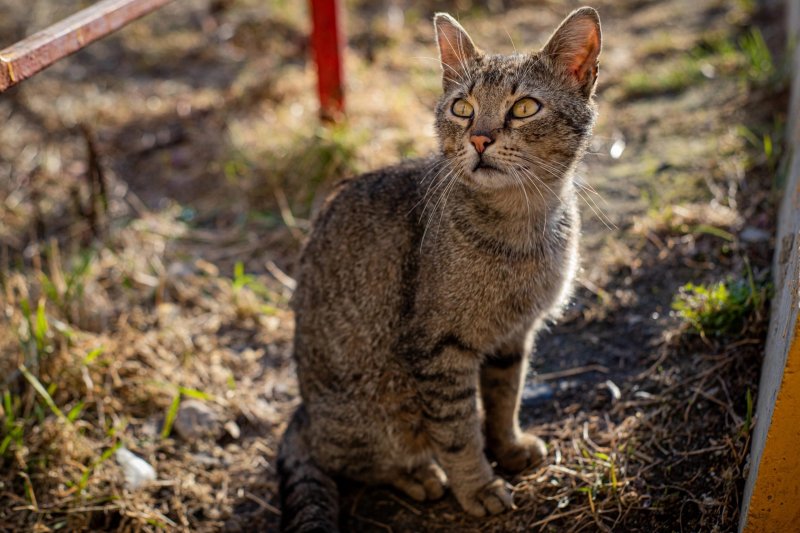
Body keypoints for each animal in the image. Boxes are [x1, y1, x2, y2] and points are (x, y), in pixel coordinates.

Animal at [280, 8, 600, 532]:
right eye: (463, 108)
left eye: (525, 108)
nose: (480, 138)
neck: (521, 228)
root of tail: (302, 411)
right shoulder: (439, 349)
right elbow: (458, 431)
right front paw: (478, 486)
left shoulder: (514, 336)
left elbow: (503, 398)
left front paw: (508, 446)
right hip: (370, 411)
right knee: (351, 458)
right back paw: (418, 475)